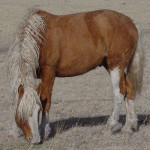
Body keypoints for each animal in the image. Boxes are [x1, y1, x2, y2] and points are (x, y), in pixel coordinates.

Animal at [7, 8, 144, 144]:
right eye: (21, 114)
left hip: (116, 65)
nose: (34, 139)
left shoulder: (49, 73)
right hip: (111, 66)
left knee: (119, 93)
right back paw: (129, 126)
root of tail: (131, 23)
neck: (40, 36)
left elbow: (46, 100)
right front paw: (14, 131)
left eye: (38, 110)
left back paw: (110, 126)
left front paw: (44, 130)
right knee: (129, 88)